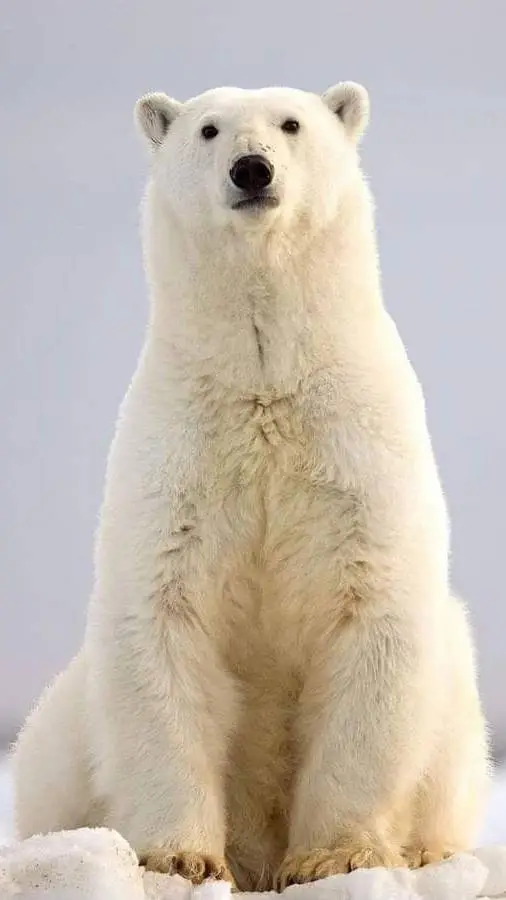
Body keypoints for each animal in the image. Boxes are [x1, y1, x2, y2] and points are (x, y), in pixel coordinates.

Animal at [12, 81, 489, 893]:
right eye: (208, 129)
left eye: (292, 123)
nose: (251, 169)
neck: (265, 383)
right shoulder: (179, 463)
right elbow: (163, 625)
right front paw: (181, 857)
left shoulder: (356, 455)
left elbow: (371, 626)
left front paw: (338, 855)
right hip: (64, 719)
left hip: (458, 691)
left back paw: (431, 853)